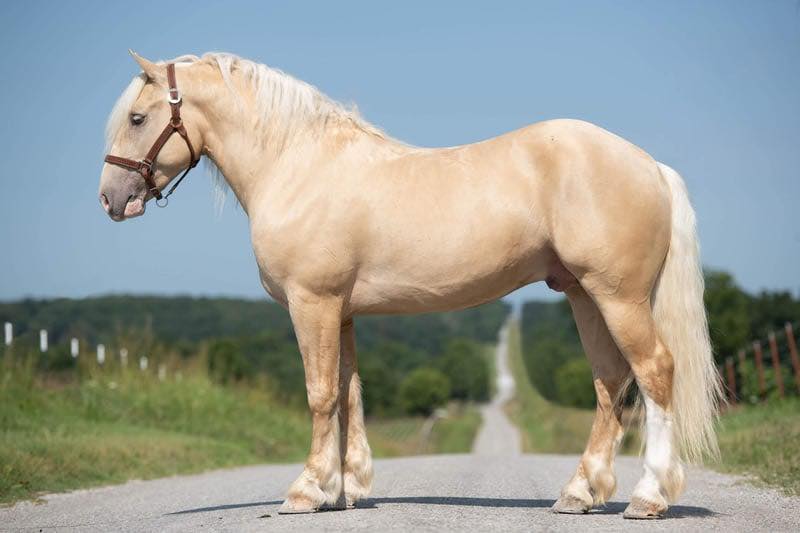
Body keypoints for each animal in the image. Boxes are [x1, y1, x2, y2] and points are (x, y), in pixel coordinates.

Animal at [98, 51, 722, 519]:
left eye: (137, 118)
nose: (111, 198)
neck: (297, 166)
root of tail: (649, 164)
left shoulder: (311, 304)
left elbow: (320, 394)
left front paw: (306, 491)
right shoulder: (342, 311)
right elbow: (349, 392)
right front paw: (343, 491)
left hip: (617, 297)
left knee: (654, 372)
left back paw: (647, 498)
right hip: (583, 295)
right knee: (609, 382)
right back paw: (579, 494)